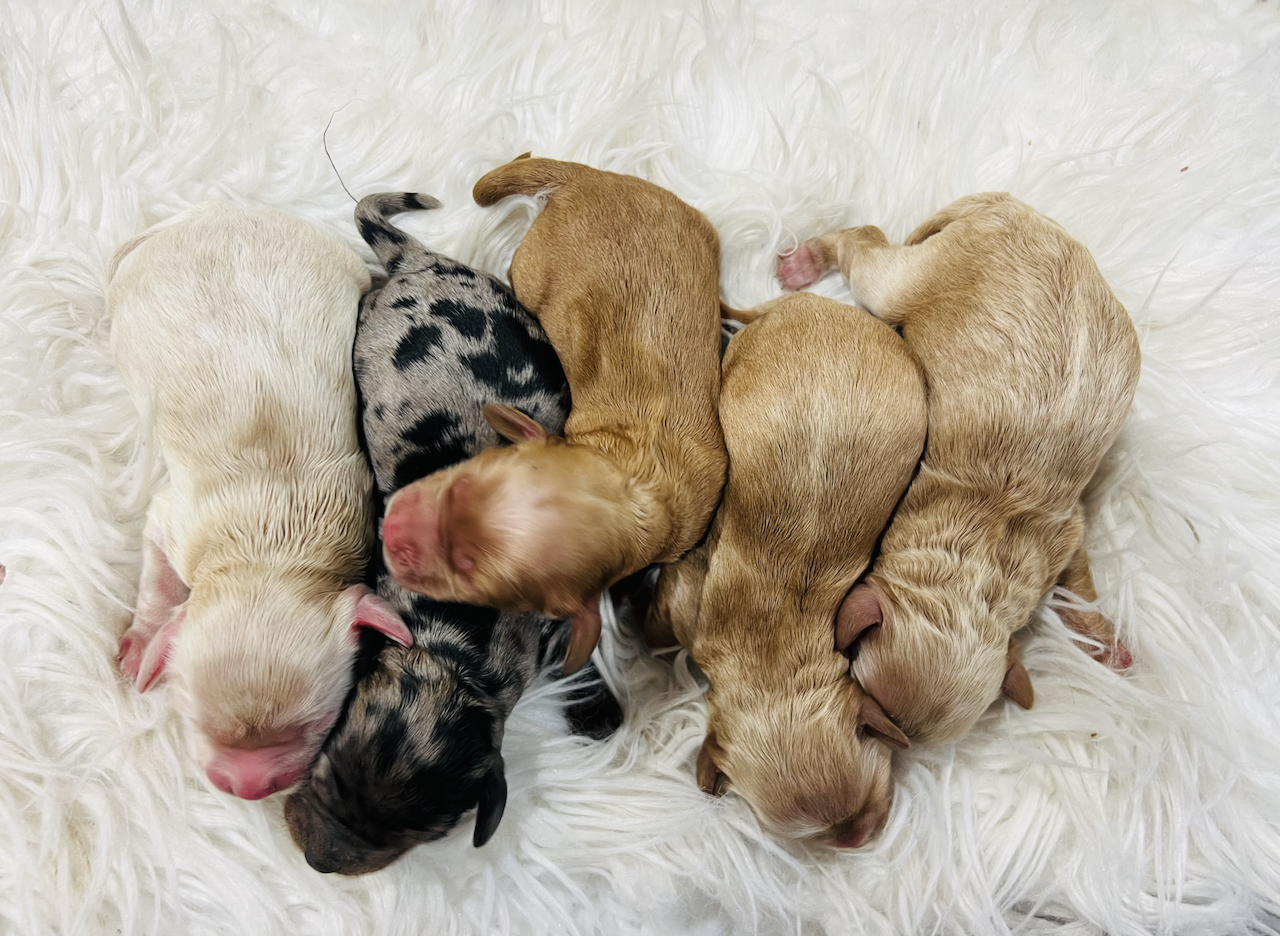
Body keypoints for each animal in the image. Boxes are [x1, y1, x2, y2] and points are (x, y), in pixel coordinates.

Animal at [110, 201, 412, 804]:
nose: (248, 789)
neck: (268, 551)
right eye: (194, 720)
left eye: (319, 724)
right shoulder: (173, 520)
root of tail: (210, 212)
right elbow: (157, 578)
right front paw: (142, 643)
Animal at [376, 159, 732, 676]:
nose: (390, 527)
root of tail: (582, 177)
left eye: (472, 583)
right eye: (463, 478)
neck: (637, 482)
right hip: (534, 266)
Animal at [773, 194, 1146, 742]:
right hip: (904, 281)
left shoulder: (1063, 535)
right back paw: (805, 261)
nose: (892, 744)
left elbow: (1079, 585)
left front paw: (1103, 641)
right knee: (864, 240)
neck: (980, 560)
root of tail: (1007, 206)